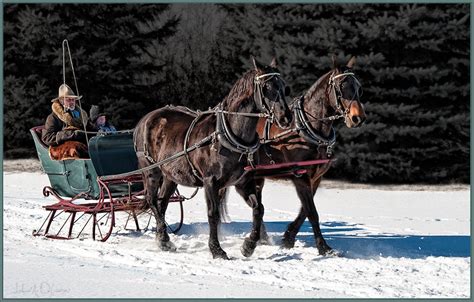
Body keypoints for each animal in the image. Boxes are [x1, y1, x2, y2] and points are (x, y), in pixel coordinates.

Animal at [133, 57, 294, 260]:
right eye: (266, 87)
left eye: (284, 87)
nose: (286, 117)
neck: (229, 135)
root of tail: (145, 119)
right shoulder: (211, 181)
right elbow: (213, 214)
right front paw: (217, 249)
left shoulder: (243, 182)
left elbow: (259, 208)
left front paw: (249, 245)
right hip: (151, 170)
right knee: (152, 200)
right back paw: (163, 239)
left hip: (171, 174)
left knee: (162, 203)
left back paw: (163, 239)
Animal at [235, 55, 364, 256]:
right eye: (342, 87)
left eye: (358, 86)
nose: (358, 118)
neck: (306, 128)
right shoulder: (300, 176)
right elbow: (312, 212)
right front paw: (323, 247)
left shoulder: (316, 177)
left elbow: (305, 209)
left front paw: (289, 237)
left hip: (257, 176)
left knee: (257, 203)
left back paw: (260, 237)